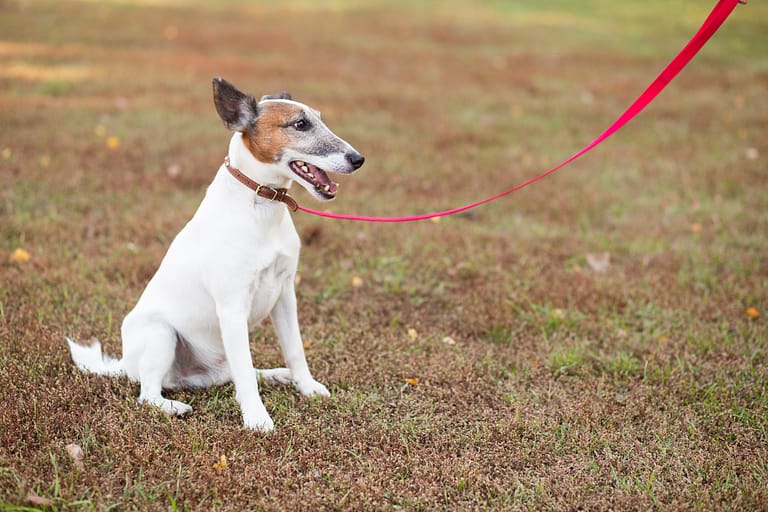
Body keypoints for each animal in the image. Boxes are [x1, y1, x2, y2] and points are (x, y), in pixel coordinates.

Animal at [65, 77, 364, 432]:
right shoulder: (233, 307)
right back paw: (173, 407)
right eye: (300, 124)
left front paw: (306, 386)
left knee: (236, 373)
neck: (261, 204)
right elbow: (245, 375)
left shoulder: (285, 295)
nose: (358, 159)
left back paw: (276, 375)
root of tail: (125, 365)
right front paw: (257, 418)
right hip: (161, 334)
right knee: (150, 393)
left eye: (320, 119)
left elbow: (294, 350)